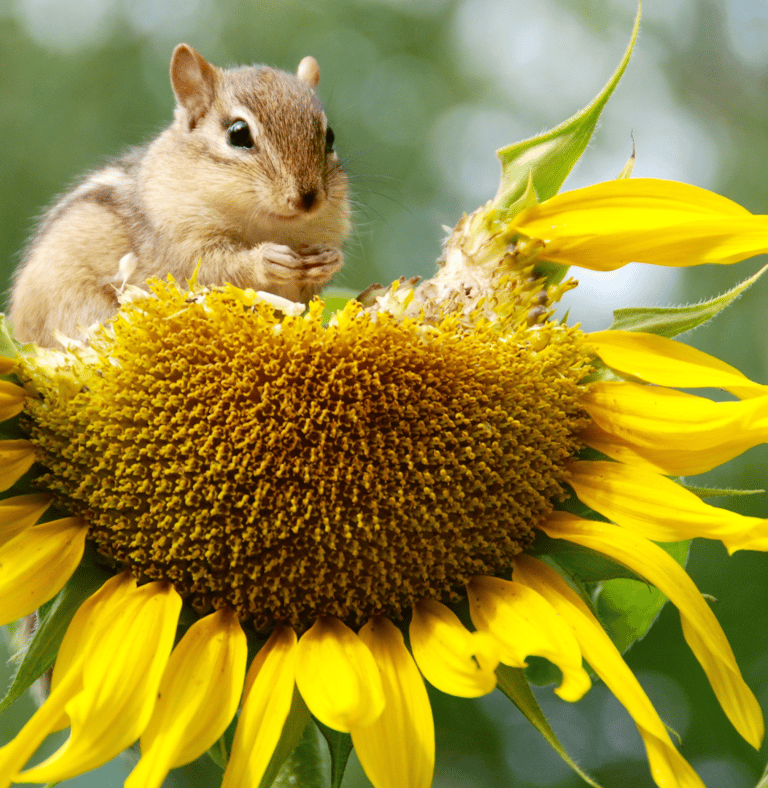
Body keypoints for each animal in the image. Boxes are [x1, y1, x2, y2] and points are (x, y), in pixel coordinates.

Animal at [9, 44, 351, 347]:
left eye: (330, 137)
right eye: (238, 133)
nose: (308, 199)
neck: (270, 225)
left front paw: (329, 259)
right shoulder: (180, 241)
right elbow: (215, 269)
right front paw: (266, 259)